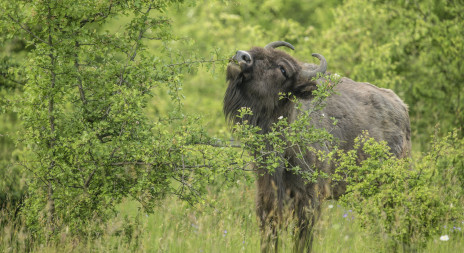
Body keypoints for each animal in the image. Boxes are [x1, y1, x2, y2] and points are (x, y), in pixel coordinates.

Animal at [224, 41, 410, 251]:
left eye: (283, 69)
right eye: (256, 51)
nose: (241, 57)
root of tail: (402, 108)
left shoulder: (309, 202)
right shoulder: (268, 200)